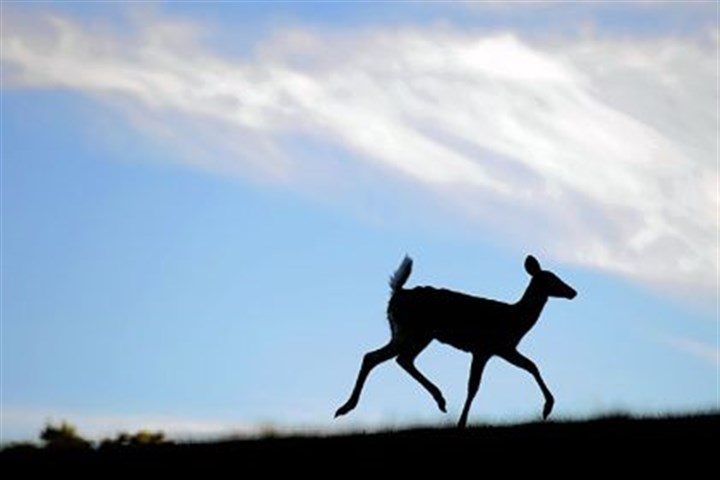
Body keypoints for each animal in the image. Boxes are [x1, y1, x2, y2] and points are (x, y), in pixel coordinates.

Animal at [334, 254, 577, 428]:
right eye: (553, 279)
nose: (573, 291)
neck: (515, 320)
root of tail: (397, 292)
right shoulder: (490, 347)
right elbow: (479, 385)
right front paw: (547, 407)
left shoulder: (496, 349)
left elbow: (526, 367)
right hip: (412, 331)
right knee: (383, 357)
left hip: (413, 334)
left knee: (391, 358)